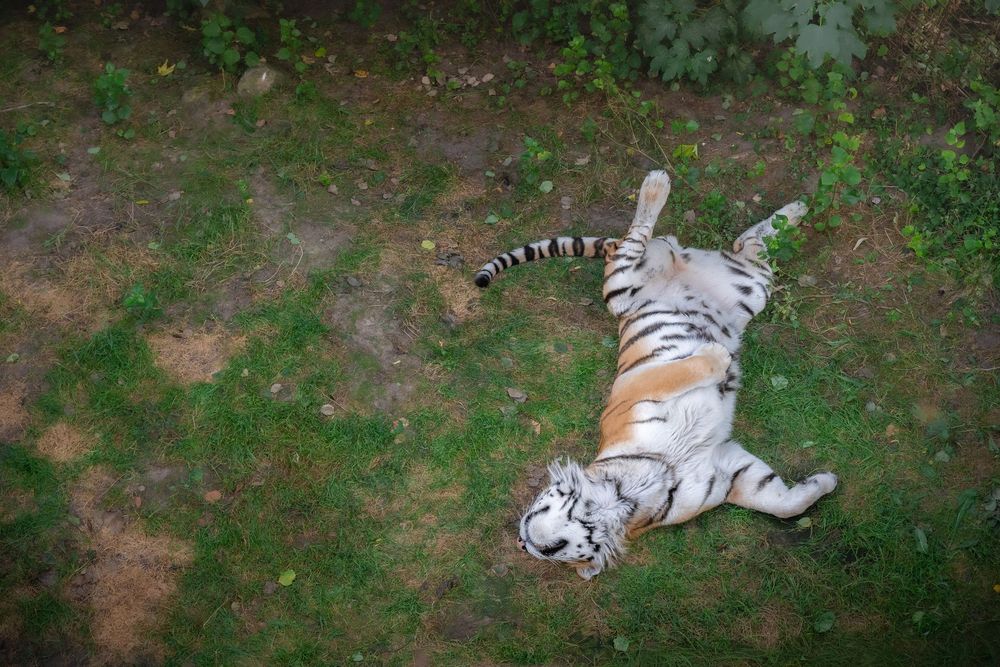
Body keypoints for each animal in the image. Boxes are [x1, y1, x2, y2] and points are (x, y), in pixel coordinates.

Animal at [474, 170, 838, 580]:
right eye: (541, 551)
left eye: (533, 519)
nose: (524, 541)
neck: (623, 500)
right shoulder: (729, 471)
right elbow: (783, 504)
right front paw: (824, 482)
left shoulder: (641, 385)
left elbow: (688, 368)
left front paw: (718, 355)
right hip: (752, 285)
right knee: (752, 242)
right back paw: (796, 210)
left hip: (622, 286)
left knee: (637, 236)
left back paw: (657, 184)